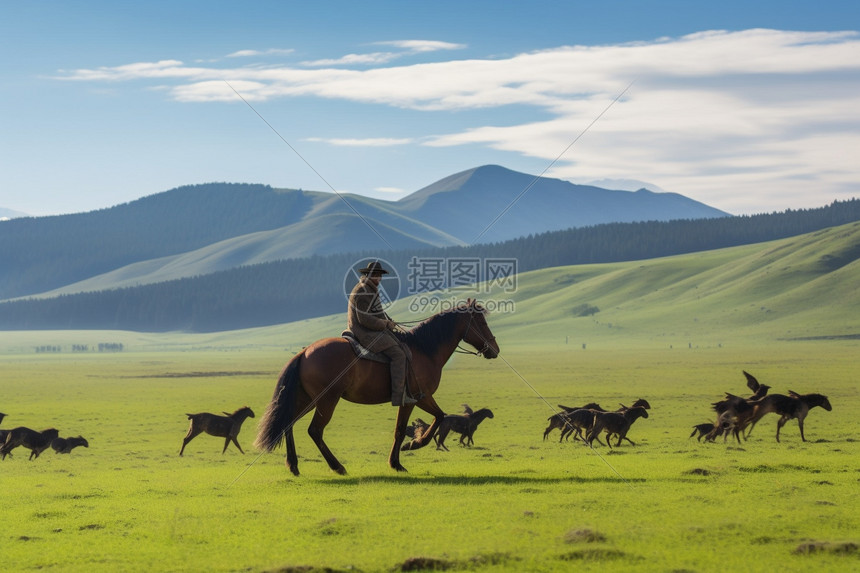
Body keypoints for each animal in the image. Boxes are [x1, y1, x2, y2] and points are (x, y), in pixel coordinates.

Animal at [254, 300, 498, 474]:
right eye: (482, 323)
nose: (494, 349)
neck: (425, 349)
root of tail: (304, 353)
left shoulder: (413, 399)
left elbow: (410, 426)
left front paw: (398, 459)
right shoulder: (418, 397)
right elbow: (432, 419)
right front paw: (412, 447)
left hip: (307, 399)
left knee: (288, 423)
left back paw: (294, 465)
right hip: (326, 400)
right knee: (315, 430)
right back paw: (337, 466)